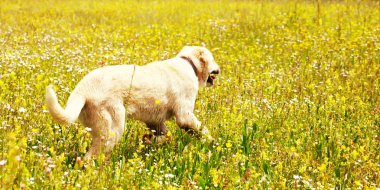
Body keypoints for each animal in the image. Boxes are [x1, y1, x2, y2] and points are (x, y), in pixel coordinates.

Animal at [46, 46, 221, 159]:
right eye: (213, 59)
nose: (219, 69)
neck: (189, 64)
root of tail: (84, 87)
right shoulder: (184, 116)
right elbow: (202, 130)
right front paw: (212, 143)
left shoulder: (154, 121)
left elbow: (165, 136)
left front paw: (150, 142)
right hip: (113, 129)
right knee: (89, 158)